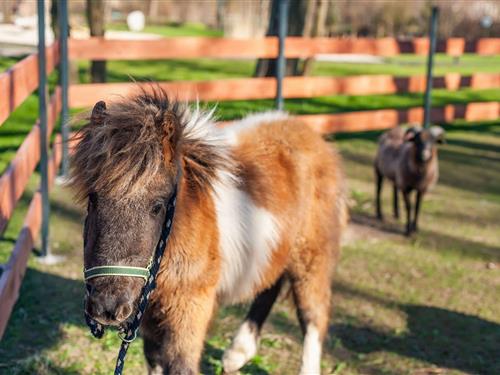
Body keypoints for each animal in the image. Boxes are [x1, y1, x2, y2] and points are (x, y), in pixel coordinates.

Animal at [70, 89, 346, 374]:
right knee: (269, 286)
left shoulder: (190, 311)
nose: (107, 306)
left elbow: (181, 365)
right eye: (93, 198)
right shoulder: (149, 317)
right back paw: (237, 354)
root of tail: (314, 137)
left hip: (312, 257)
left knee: (312, 316)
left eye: (157, 205)